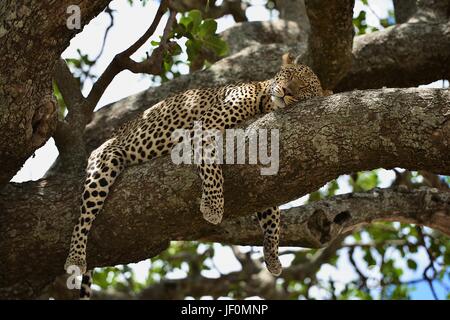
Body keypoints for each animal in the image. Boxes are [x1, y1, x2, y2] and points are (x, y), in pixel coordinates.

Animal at [63, 53, 328, 298]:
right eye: (290, 75)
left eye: (304, 89)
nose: (286, 91)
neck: (265, 103)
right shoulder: (206, 126)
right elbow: (211, 166)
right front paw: (213, 206)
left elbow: (271, 214)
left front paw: (272, 255)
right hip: (106, 160)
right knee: (84, 216)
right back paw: (75, 258)